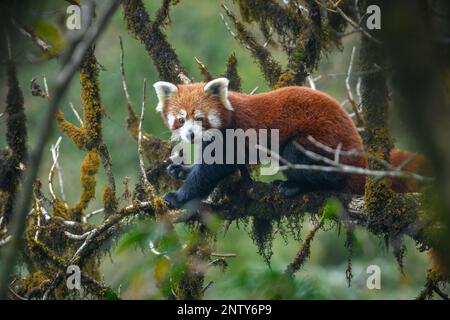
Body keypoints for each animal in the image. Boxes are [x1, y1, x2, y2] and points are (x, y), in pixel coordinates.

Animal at [154, 77, 428, 208]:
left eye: (200, 118)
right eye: (181, 120)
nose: (190, 135)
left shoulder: (234, 133)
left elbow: (214, 170)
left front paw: (179, 196)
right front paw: (182, 169)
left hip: (322, 141)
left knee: (300, 158)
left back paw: (296, 185)